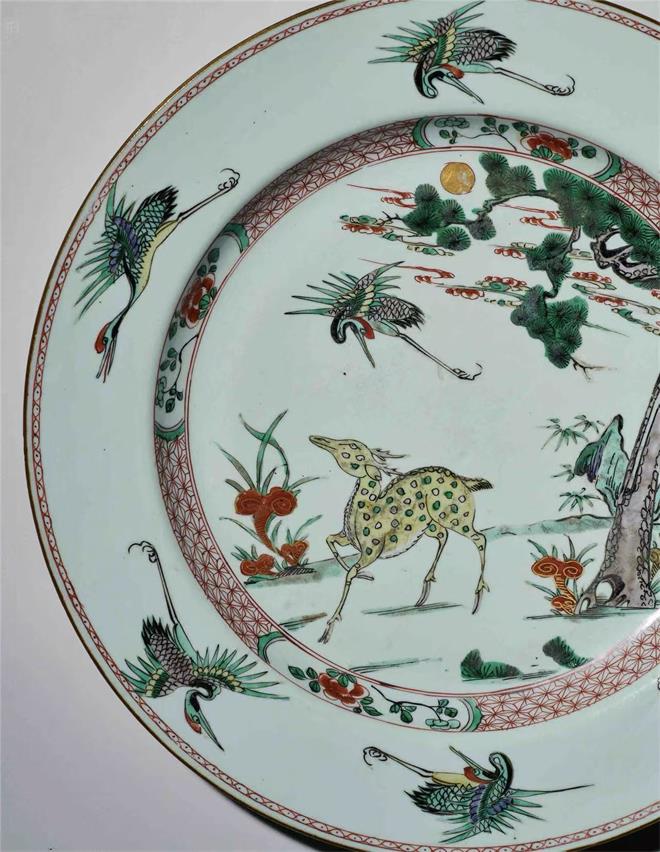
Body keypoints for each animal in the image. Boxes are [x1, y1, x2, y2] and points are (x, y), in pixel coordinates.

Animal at [309, 435, 492, 643]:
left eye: (352, 445)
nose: (316, 438)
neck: (363, 515)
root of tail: (463, 480)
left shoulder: (371, 550)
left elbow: (350, 573)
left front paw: (328, 629)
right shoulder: (348, 538)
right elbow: (329, 540)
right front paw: (364, 575)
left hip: (454, 516)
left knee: (479, 538)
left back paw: (478, 596)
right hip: (429, 524)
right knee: (443, 535)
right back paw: (425, 590)